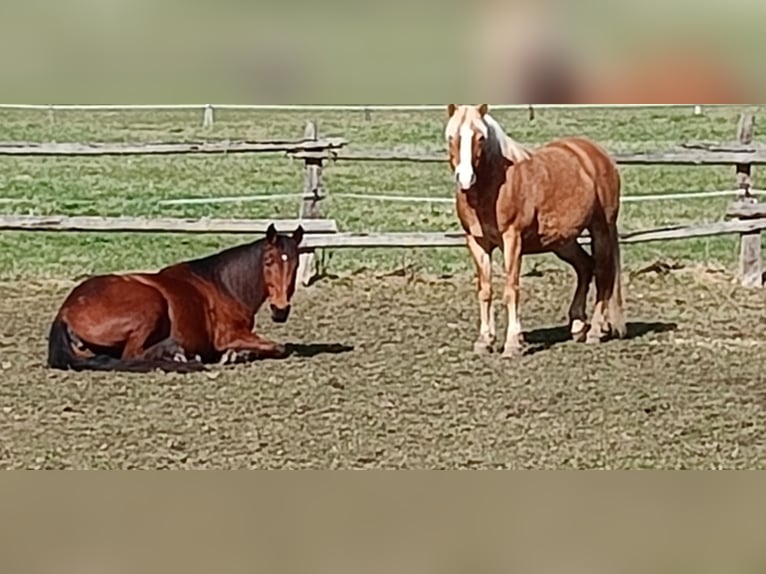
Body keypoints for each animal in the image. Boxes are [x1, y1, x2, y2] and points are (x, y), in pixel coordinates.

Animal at [47, 223, 305, 373]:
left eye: (295, 263)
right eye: (268, 261)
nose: (280, 309)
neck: (224, 286)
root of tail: (66, 310)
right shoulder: (229, 335)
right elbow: (279, 347)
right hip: (151, 305)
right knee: (132, 355)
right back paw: (177, 354)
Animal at [445, 104, 626, 357]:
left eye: (481, 137)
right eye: (451, 136)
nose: (465, 177)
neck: (493, 186)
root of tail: (597, 154)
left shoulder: (512, 240)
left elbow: (511, 290)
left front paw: (512, 343)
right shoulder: (477, 241)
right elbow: (485, 290)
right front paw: (484, 341)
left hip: (601, 229)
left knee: (603, 274)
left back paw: (594, 331)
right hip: (563, 241)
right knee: (585, 267)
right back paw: (578, 325)